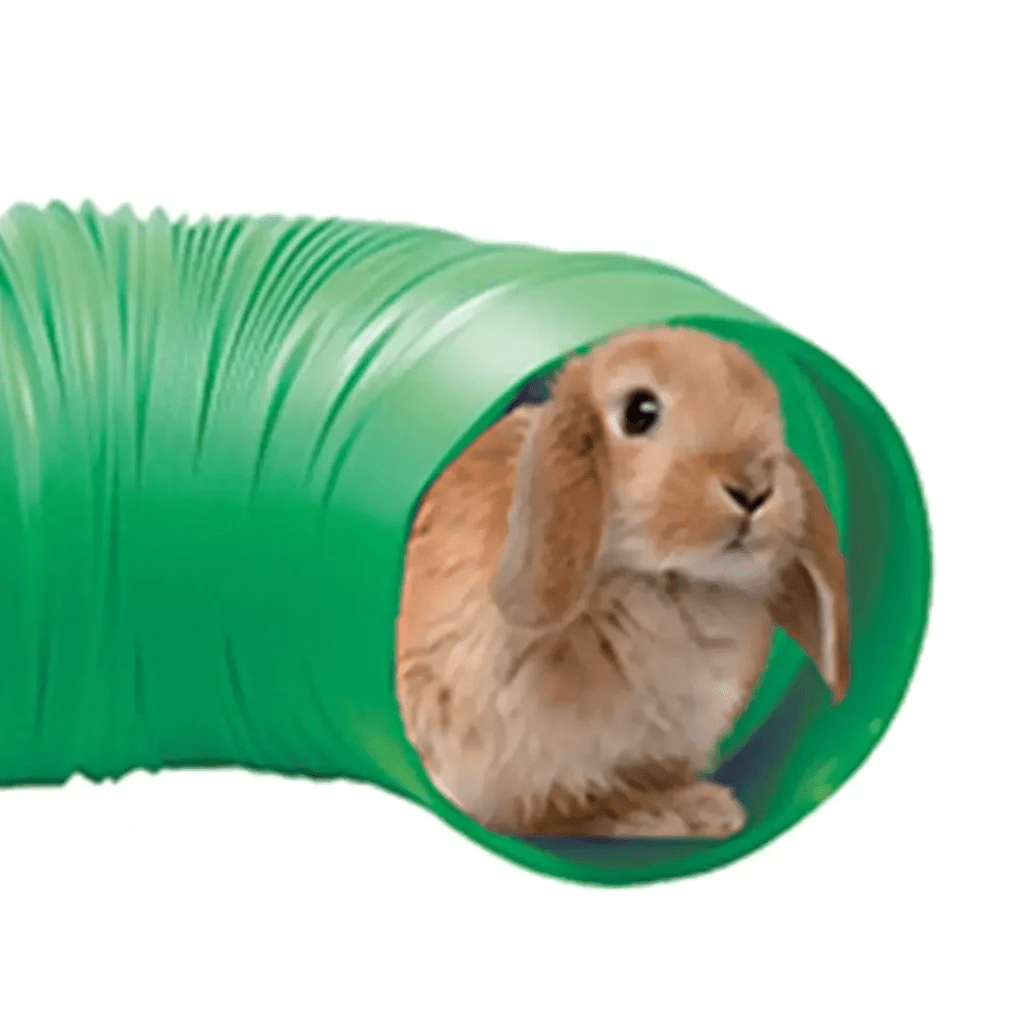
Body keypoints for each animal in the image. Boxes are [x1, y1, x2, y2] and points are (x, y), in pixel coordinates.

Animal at [395, 326, 849, 839]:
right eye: (639, 412)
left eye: (773, 411)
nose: (753, 489)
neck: (666, 582)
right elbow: (566, 807)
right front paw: (692, 811)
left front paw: (701, 808)